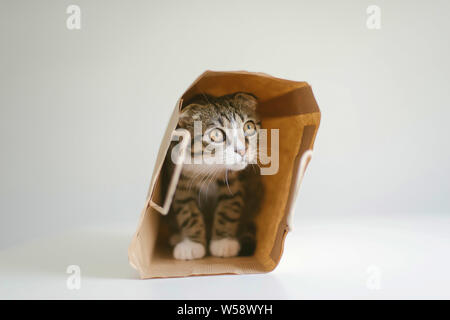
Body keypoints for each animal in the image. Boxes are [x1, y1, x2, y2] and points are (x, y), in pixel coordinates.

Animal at [164, 92, 264, 260]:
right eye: (216, 135)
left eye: (249, 127)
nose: (242, 150)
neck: (207, 166)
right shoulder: (180, 179)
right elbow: (187, 210)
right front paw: (192, 245)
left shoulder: (234, 180)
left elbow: (229, 206)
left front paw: (223, 243)